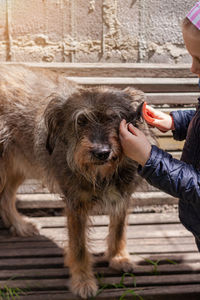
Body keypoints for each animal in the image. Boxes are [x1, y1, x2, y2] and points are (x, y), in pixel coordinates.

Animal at [0, 65, 155, 298]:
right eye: (81, 121)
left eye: (114, 118)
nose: (102, 152)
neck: (102, 174)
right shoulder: (76, 204)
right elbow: (80, 248)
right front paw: (83, 281)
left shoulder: (122, 195)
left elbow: (118, 230)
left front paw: (118, 258)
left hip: (18, 163)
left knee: (6, 195)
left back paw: (20, 225)